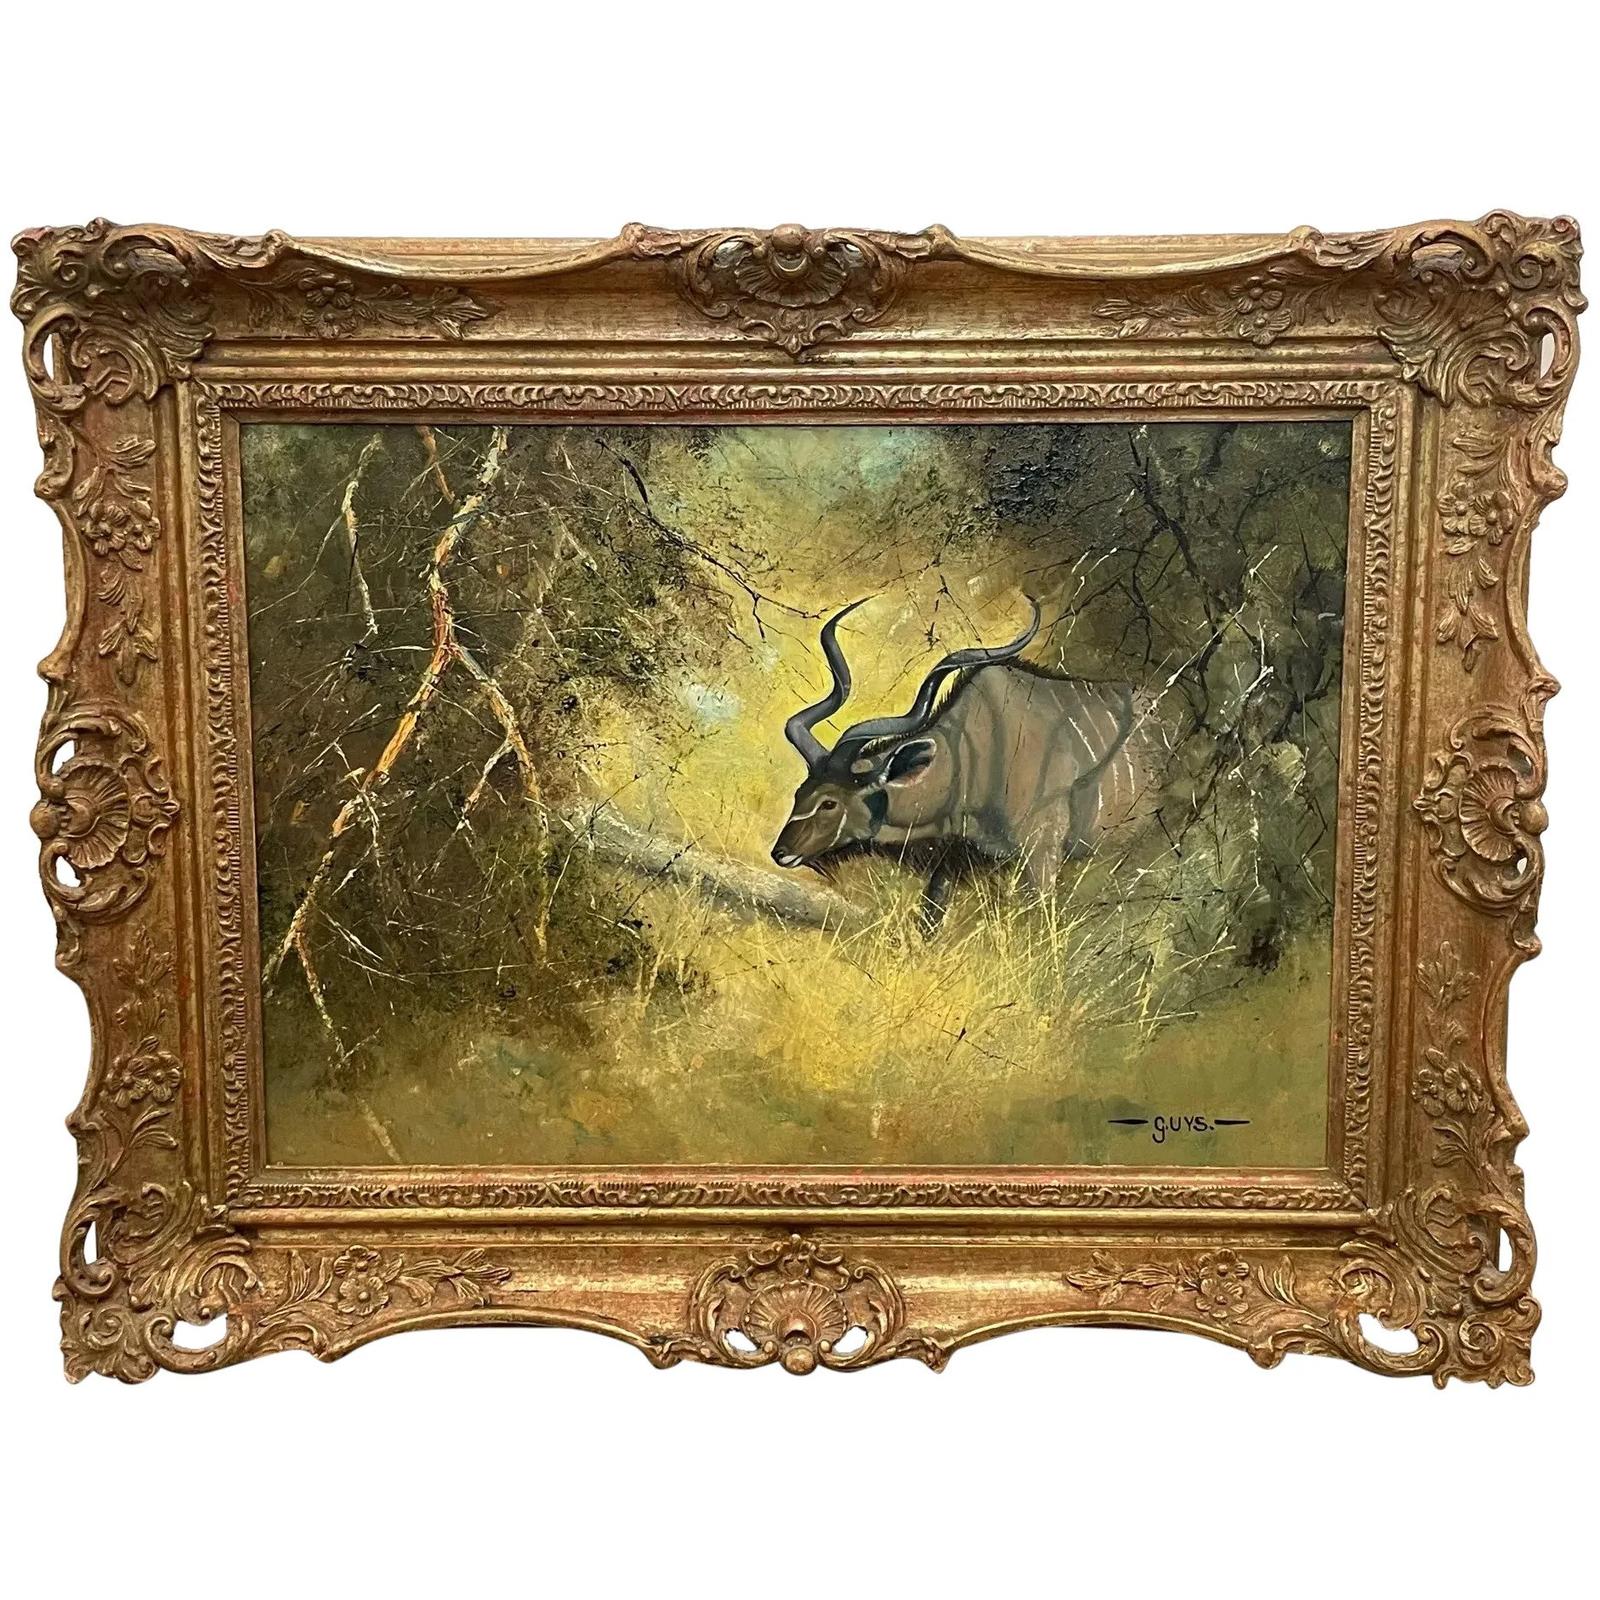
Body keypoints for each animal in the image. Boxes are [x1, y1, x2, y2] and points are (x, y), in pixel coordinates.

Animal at [771, 599, 1146, 927]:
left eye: (829, 802)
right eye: (799, 794)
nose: (780, 852)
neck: (972, 757)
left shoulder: (1040, 855)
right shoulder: (953, 862)